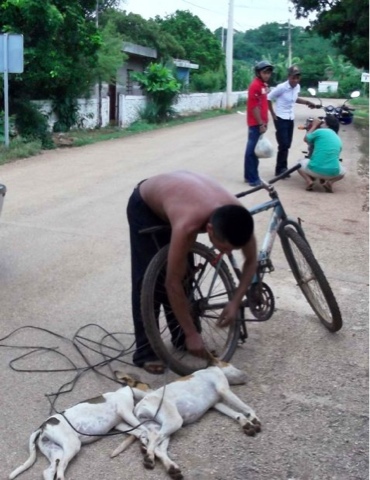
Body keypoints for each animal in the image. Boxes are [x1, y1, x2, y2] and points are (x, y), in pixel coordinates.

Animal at [8, 378, 150, 480]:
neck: (125, 391)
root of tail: (43, 426)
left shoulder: (120, 424)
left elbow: (138, 431)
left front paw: (144, 440)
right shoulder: (126, 413)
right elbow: (144, 428)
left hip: (56, 451)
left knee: (49, 471)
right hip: (73, 445)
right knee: (60, 469)